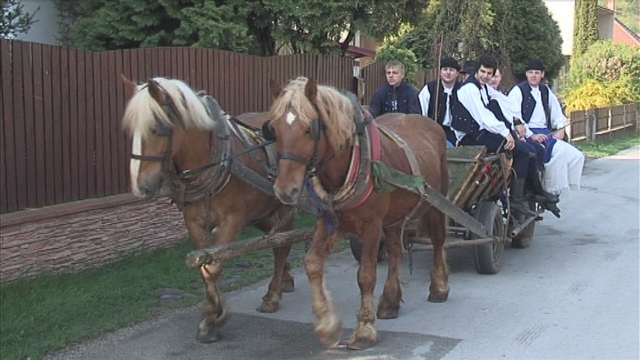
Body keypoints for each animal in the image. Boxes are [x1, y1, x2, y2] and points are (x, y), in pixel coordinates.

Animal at [121, 76, 296, 344]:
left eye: (157, 127)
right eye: (131, 129)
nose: (141, 187)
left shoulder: (232, 221)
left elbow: (214, 267)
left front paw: (213, 320)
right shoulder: (194, 222)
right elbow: (203, 268)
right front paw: (212, 314)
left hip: (284, 205)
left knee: (282, 246)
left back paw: (272, 295)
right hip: (261, 211)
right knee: (275, 238)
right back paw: (286, 278)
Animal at [264, 78, 450, 348]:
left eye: (309, 129)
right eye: (274, 129)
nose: (284, 190)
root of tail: (429, 122)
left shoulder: (372, 225)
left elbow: (366, 275)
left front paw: (364, 328)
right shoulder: (327, 220)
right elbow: (312, 262)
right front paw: (327, 324)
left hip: (436, 203)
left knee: (437, 241)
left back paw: (439, 287)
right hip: (393, 218)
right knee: (396, 252)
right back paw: (389, 301)